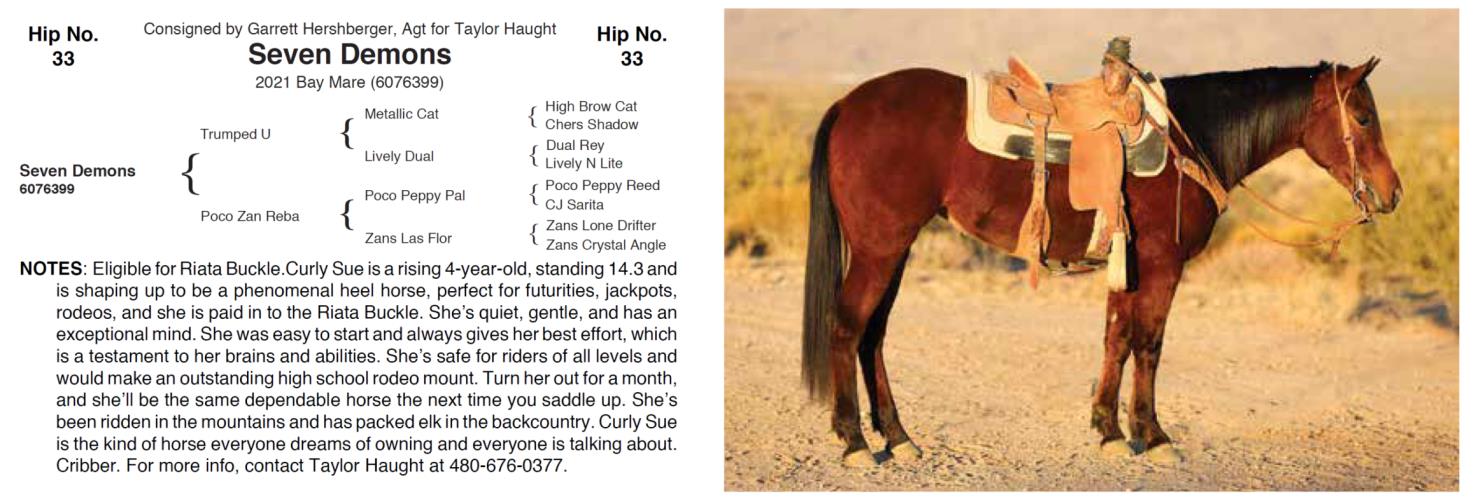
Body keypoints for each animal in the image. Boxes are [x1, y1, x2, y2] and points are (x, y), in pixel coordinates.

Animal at [800, 59, 1401, 467]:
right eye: (1363, 117)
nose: (1392, 193)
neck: (1190, 141)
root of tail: (847, 104)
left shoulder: (1128, 264)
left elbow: (1117, 337)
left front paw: (1109, 430)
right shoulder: (1162, 264)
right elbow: (1149, 343)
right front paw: (1152, 436)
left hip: (894, 250)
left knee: (873, 335)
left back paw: (898, 437)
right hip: (880, 248)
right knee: (847, 327)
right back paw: (855, 442)